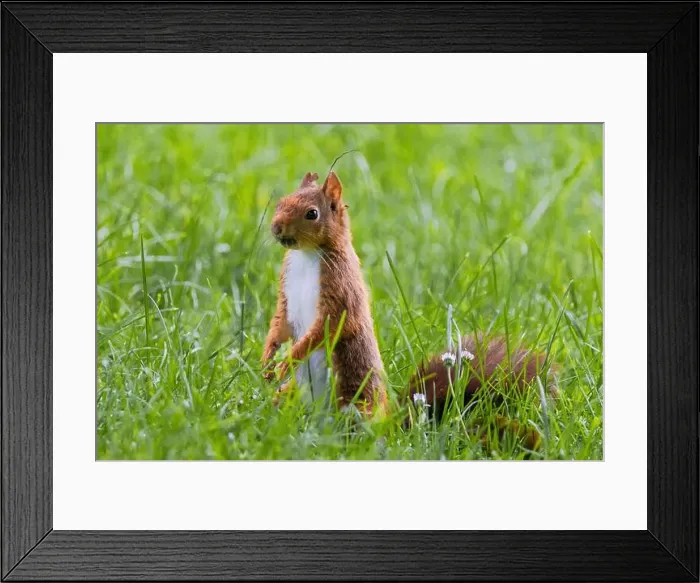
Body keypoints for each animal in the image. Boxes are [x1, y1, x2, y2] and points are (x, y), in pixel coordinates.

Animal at [262, 171, 558, 446]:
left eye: (312, 213)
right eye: (281, 202)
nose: (276, 228)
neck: (307, 255)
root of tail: (390, 425)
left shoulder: (341, 291)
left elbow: (329, 326)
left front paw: (289, 359)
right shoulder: (286, 291)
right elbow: (280, 323)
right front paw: (268, 359)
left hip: (355, 399)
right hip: (295, 395)